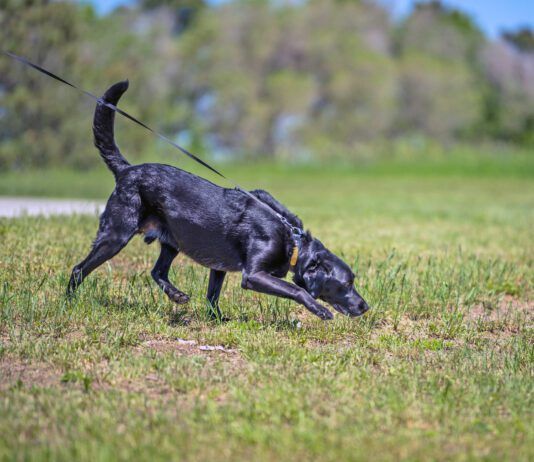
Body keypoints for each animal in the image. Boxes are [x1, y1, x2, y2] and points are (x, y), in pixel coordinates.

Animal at [67, 81, 370, 320]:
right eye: (346, 284)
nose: (365, 306)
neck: (291, 241)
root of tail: (127, 170)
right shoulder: (254, 275)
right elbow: (296, 289)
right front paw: (320, 310)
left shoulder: (218, 267)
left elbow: (212, 295)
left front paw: (217, 320)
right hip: (116, 234)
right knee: (78, 270)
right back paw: (69, 303)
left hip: (172, 240)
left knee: (157, 271)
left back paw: (177, 295)